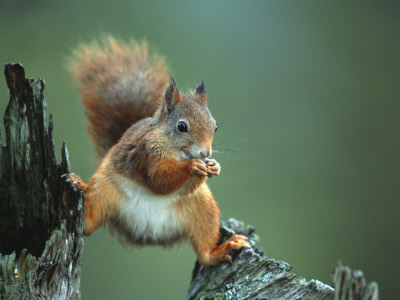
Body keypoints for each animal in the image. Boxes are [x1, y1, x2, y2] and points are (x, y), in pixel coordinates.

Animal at [66, 37, 250, 264]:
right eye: (182, 126)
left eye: (214, 127)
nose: (205, 154)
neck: (175, 151)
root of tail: (148, 233)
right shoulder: (147, 154)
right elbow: (159, 180)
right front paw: (193, 166)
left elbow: (183, 186)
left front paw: (214, 167)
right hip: (103, 189)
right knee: (89, 225)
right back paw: (78, 185)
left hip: (204, 209)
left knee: (204, 253)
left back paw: (222, 249)